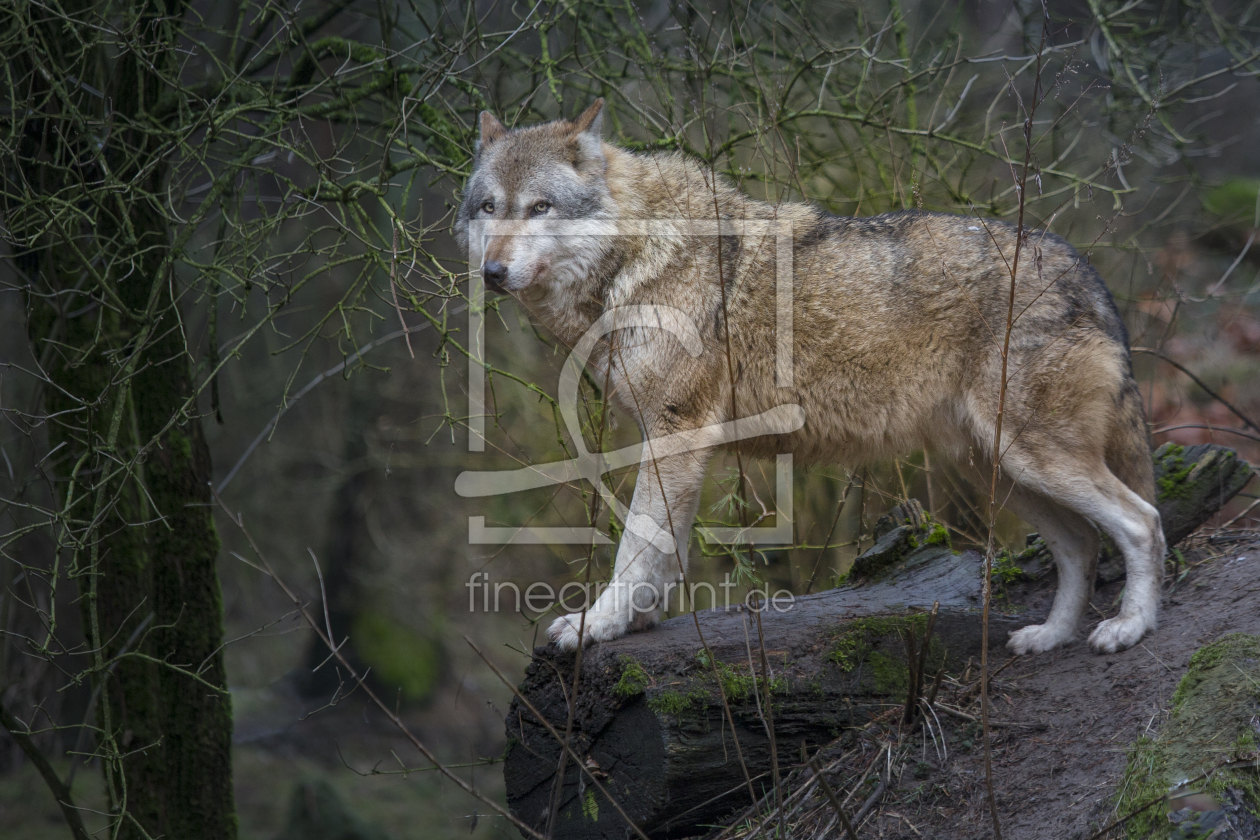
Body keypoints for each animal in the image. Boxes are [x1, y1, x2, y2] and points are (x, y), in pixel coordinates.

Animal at [458, 100, 1164, 654]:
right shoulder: (677, 445)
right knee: (1081, 545)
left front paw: (593, 626)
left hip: (1030, 458)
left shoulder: (677, 435)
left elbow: (637, 547)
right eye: (488, 208)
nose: (491, 272)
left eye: (540, 207)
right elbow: (664, 553)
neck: (635, 257)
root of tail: (1084, 270)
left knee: (1142, 521)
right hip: (999, 468)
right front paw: (632, 624)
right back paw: (1051, 637)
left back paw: (1129, 629)